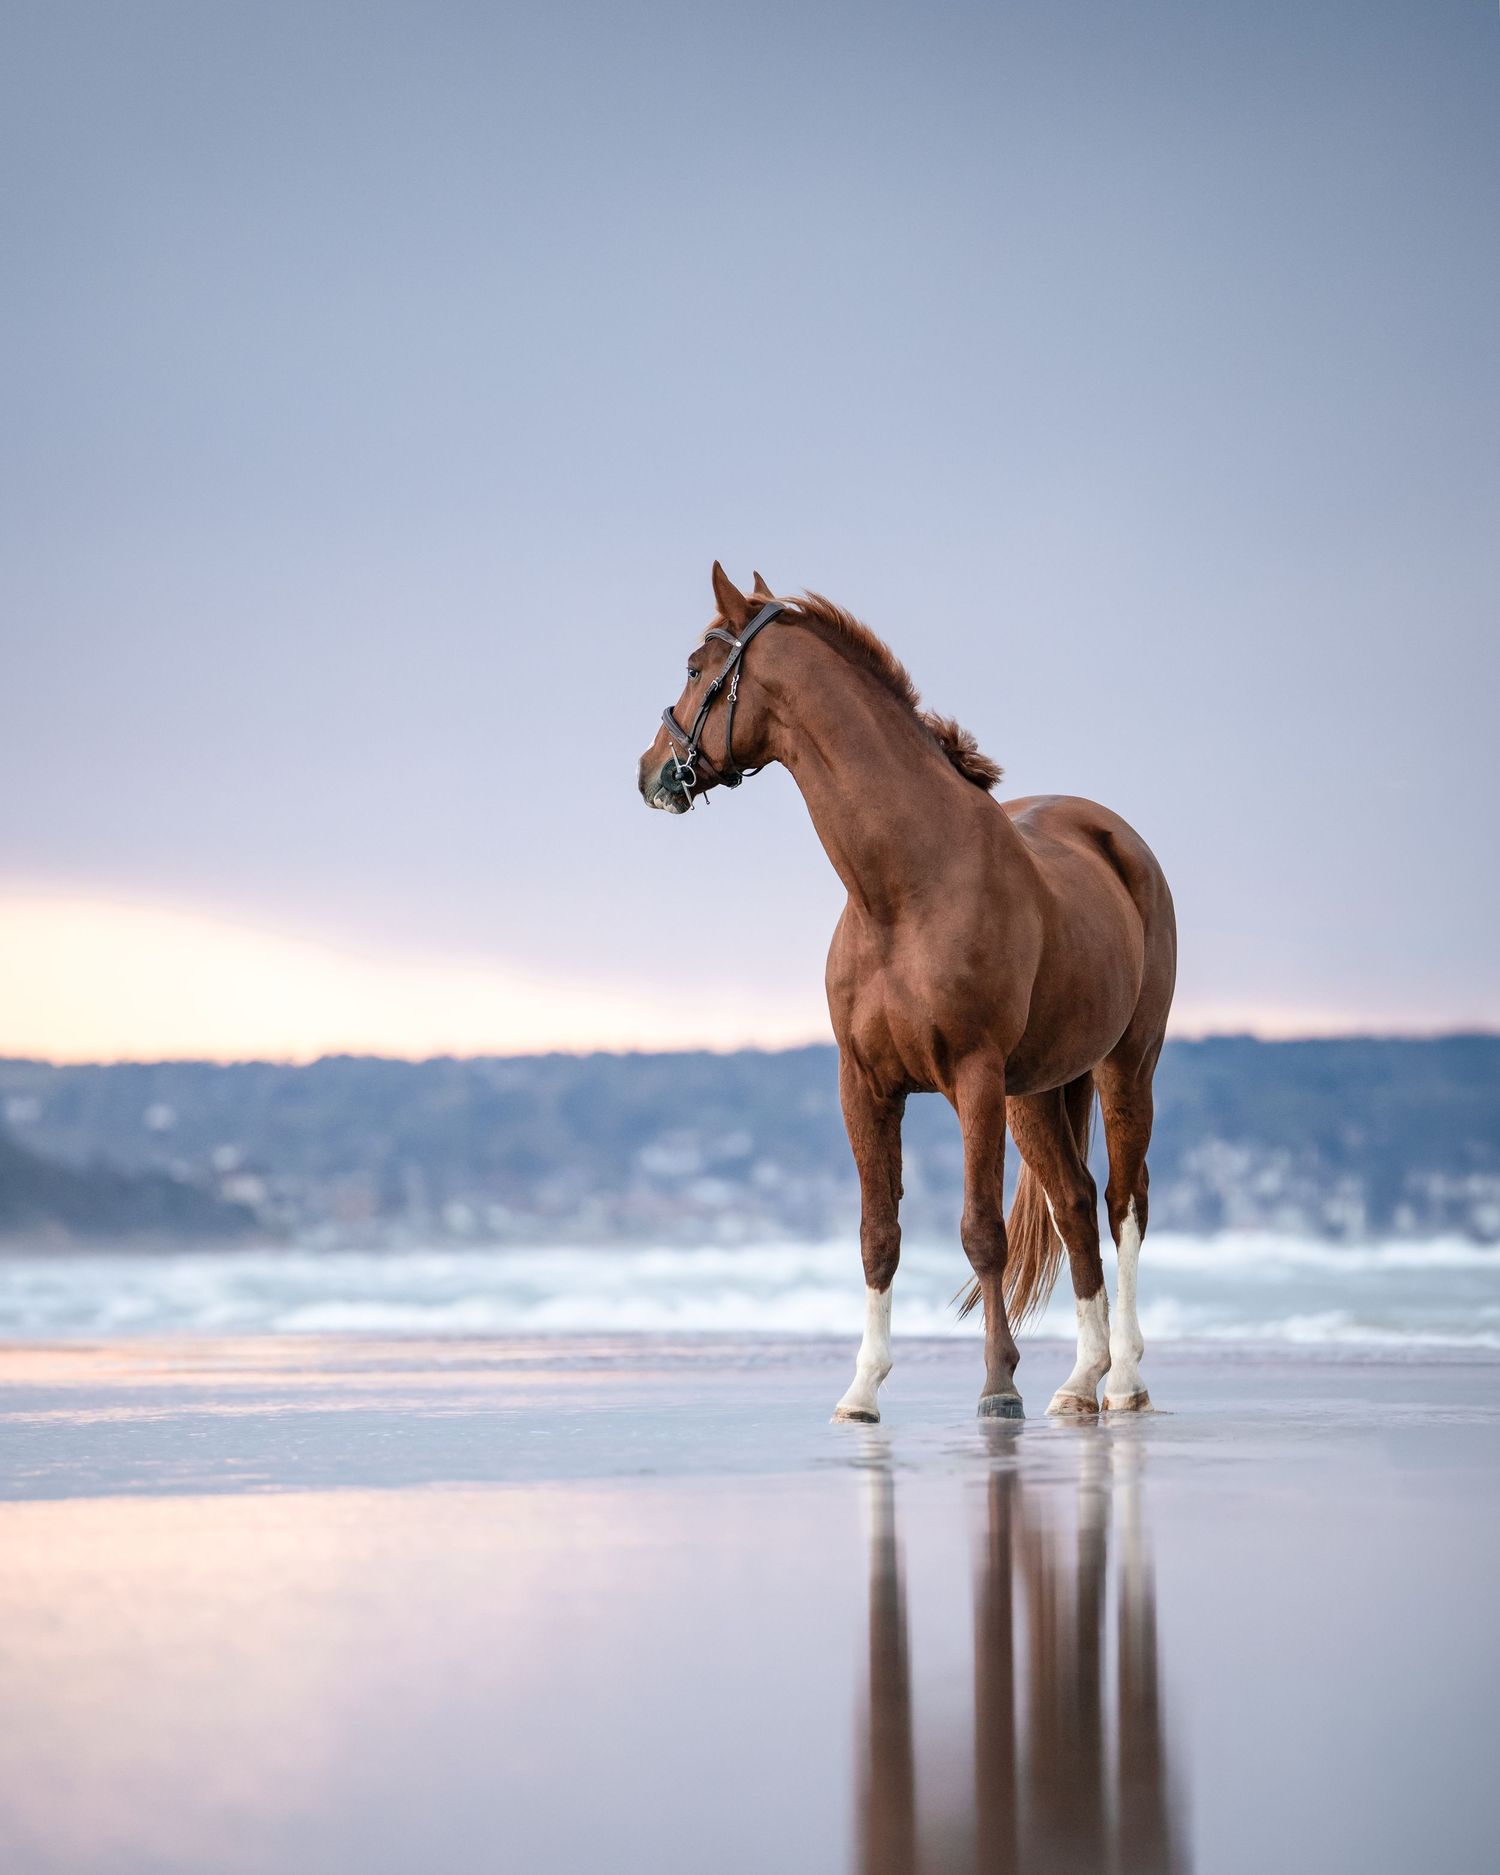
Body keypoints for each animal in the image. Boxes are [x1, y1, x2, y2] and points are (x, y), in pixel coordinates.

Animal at [637, 563, 1177, 1422]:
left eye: (695, 668)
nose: (652, 771)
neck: (903, 888)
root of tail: (1119, 842)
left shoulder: (974, 1078)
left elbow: (981, 1230)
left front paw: (998, 1385)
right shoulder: (864, 1084)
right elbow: (877, 1234)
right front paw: (861, 1388)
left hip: (1126, 1066)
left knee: (1126, 1203)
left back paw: (1122, 1377)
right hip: (1039, 1092)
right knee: (1075, 1202)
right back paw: (1078, 1381)